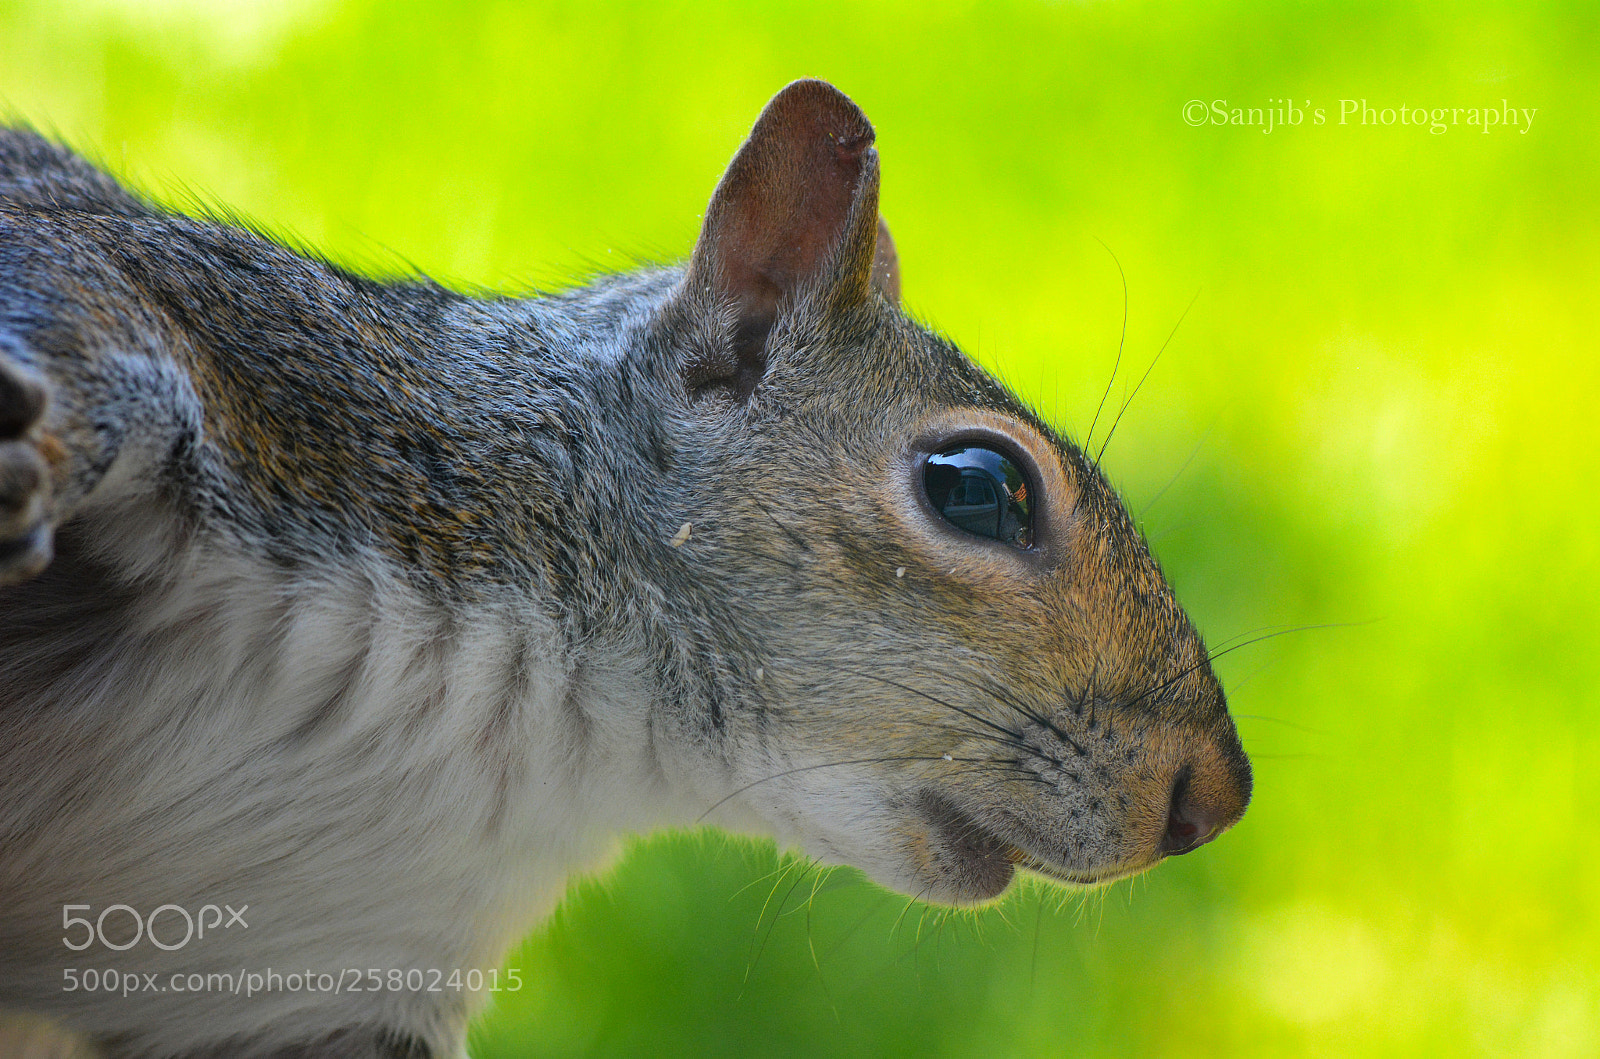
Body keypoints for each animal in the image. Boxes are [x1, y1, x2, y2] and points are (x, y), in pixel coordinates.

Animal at [0, 80, 1251, 1059]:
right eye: (976, 487)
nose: (1214, 799)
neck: (551, 747)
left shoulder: (313, 983)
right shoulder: (282, 384)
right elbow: (82, 280)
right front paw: (56, 443)